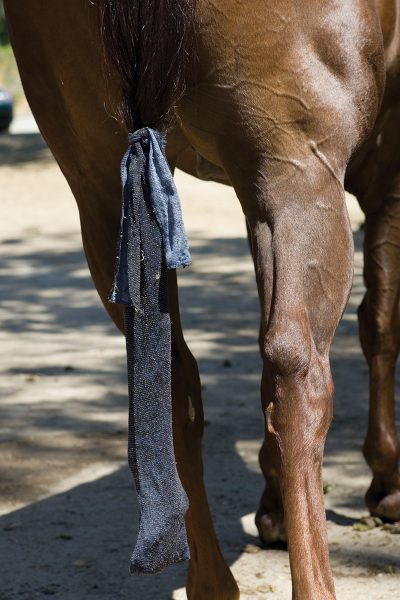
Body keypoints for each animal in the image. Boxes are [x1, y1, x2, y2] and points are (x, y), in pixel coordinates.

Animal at [4, 1, 400, 600]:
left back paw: (213, 581)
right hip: (298, 176)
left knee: (173, 379)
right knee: (299, 374)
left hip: (99, 193)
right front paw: (385, 479)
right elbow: (379, 325)